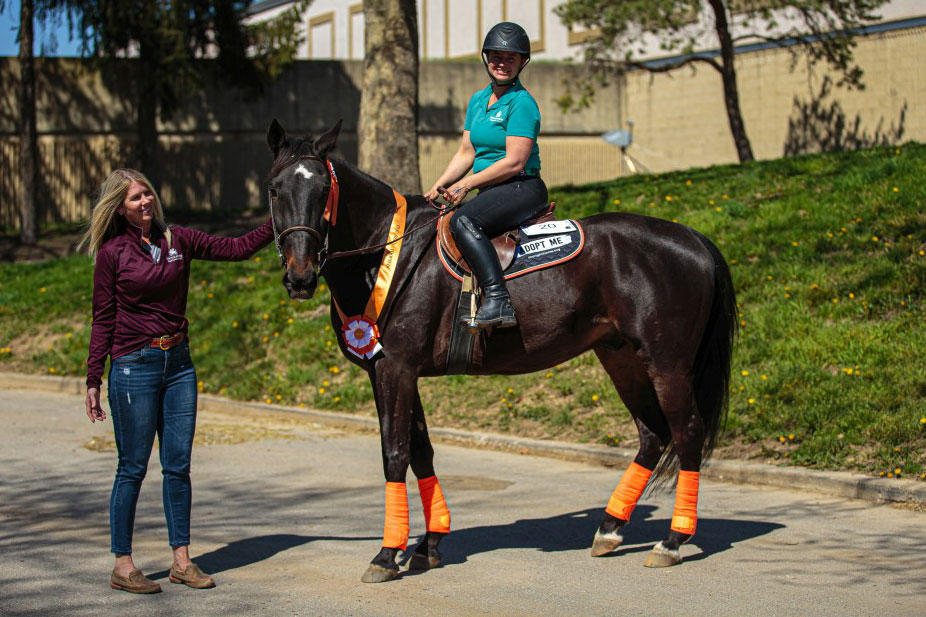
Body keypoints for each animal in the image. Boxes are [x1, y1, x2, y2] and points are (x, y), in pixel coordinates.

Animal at [264, 119, 737, 583]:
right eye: (274, 189)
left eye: (323, 191)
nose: (300, 276)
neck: (390, 253)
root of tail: (692, 237)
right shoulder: (398, 371)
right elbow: (421, 452)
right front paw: (428, 545)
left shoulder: (394, 369)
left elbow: (395, 453)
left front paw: (387, 553)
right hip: (621, 357)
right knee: (653, 433)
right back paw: (610, 528)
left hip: (666, 363)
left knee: (686, 432)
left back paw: (671, 541)